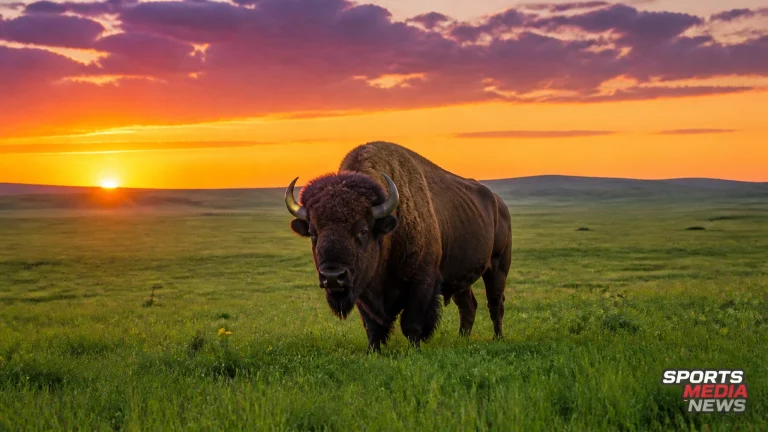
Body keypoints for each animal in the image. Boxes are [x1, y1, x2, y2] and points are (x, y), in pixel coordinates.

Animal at [285, 141, 512, 352]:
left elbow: (411, 323)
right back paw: (461, 340)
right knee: (468, 306)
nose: (333, 277)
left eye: (363, 230)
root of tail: (499, 204)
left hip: (498, 267)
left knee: (495, 303)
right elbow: (372, 326)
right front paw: (372, 352)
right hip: (461, 279)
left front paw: (414, 351)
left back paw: (498, 338)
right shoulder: (363, 290)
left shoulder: (421, 283)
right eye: (313, 233)